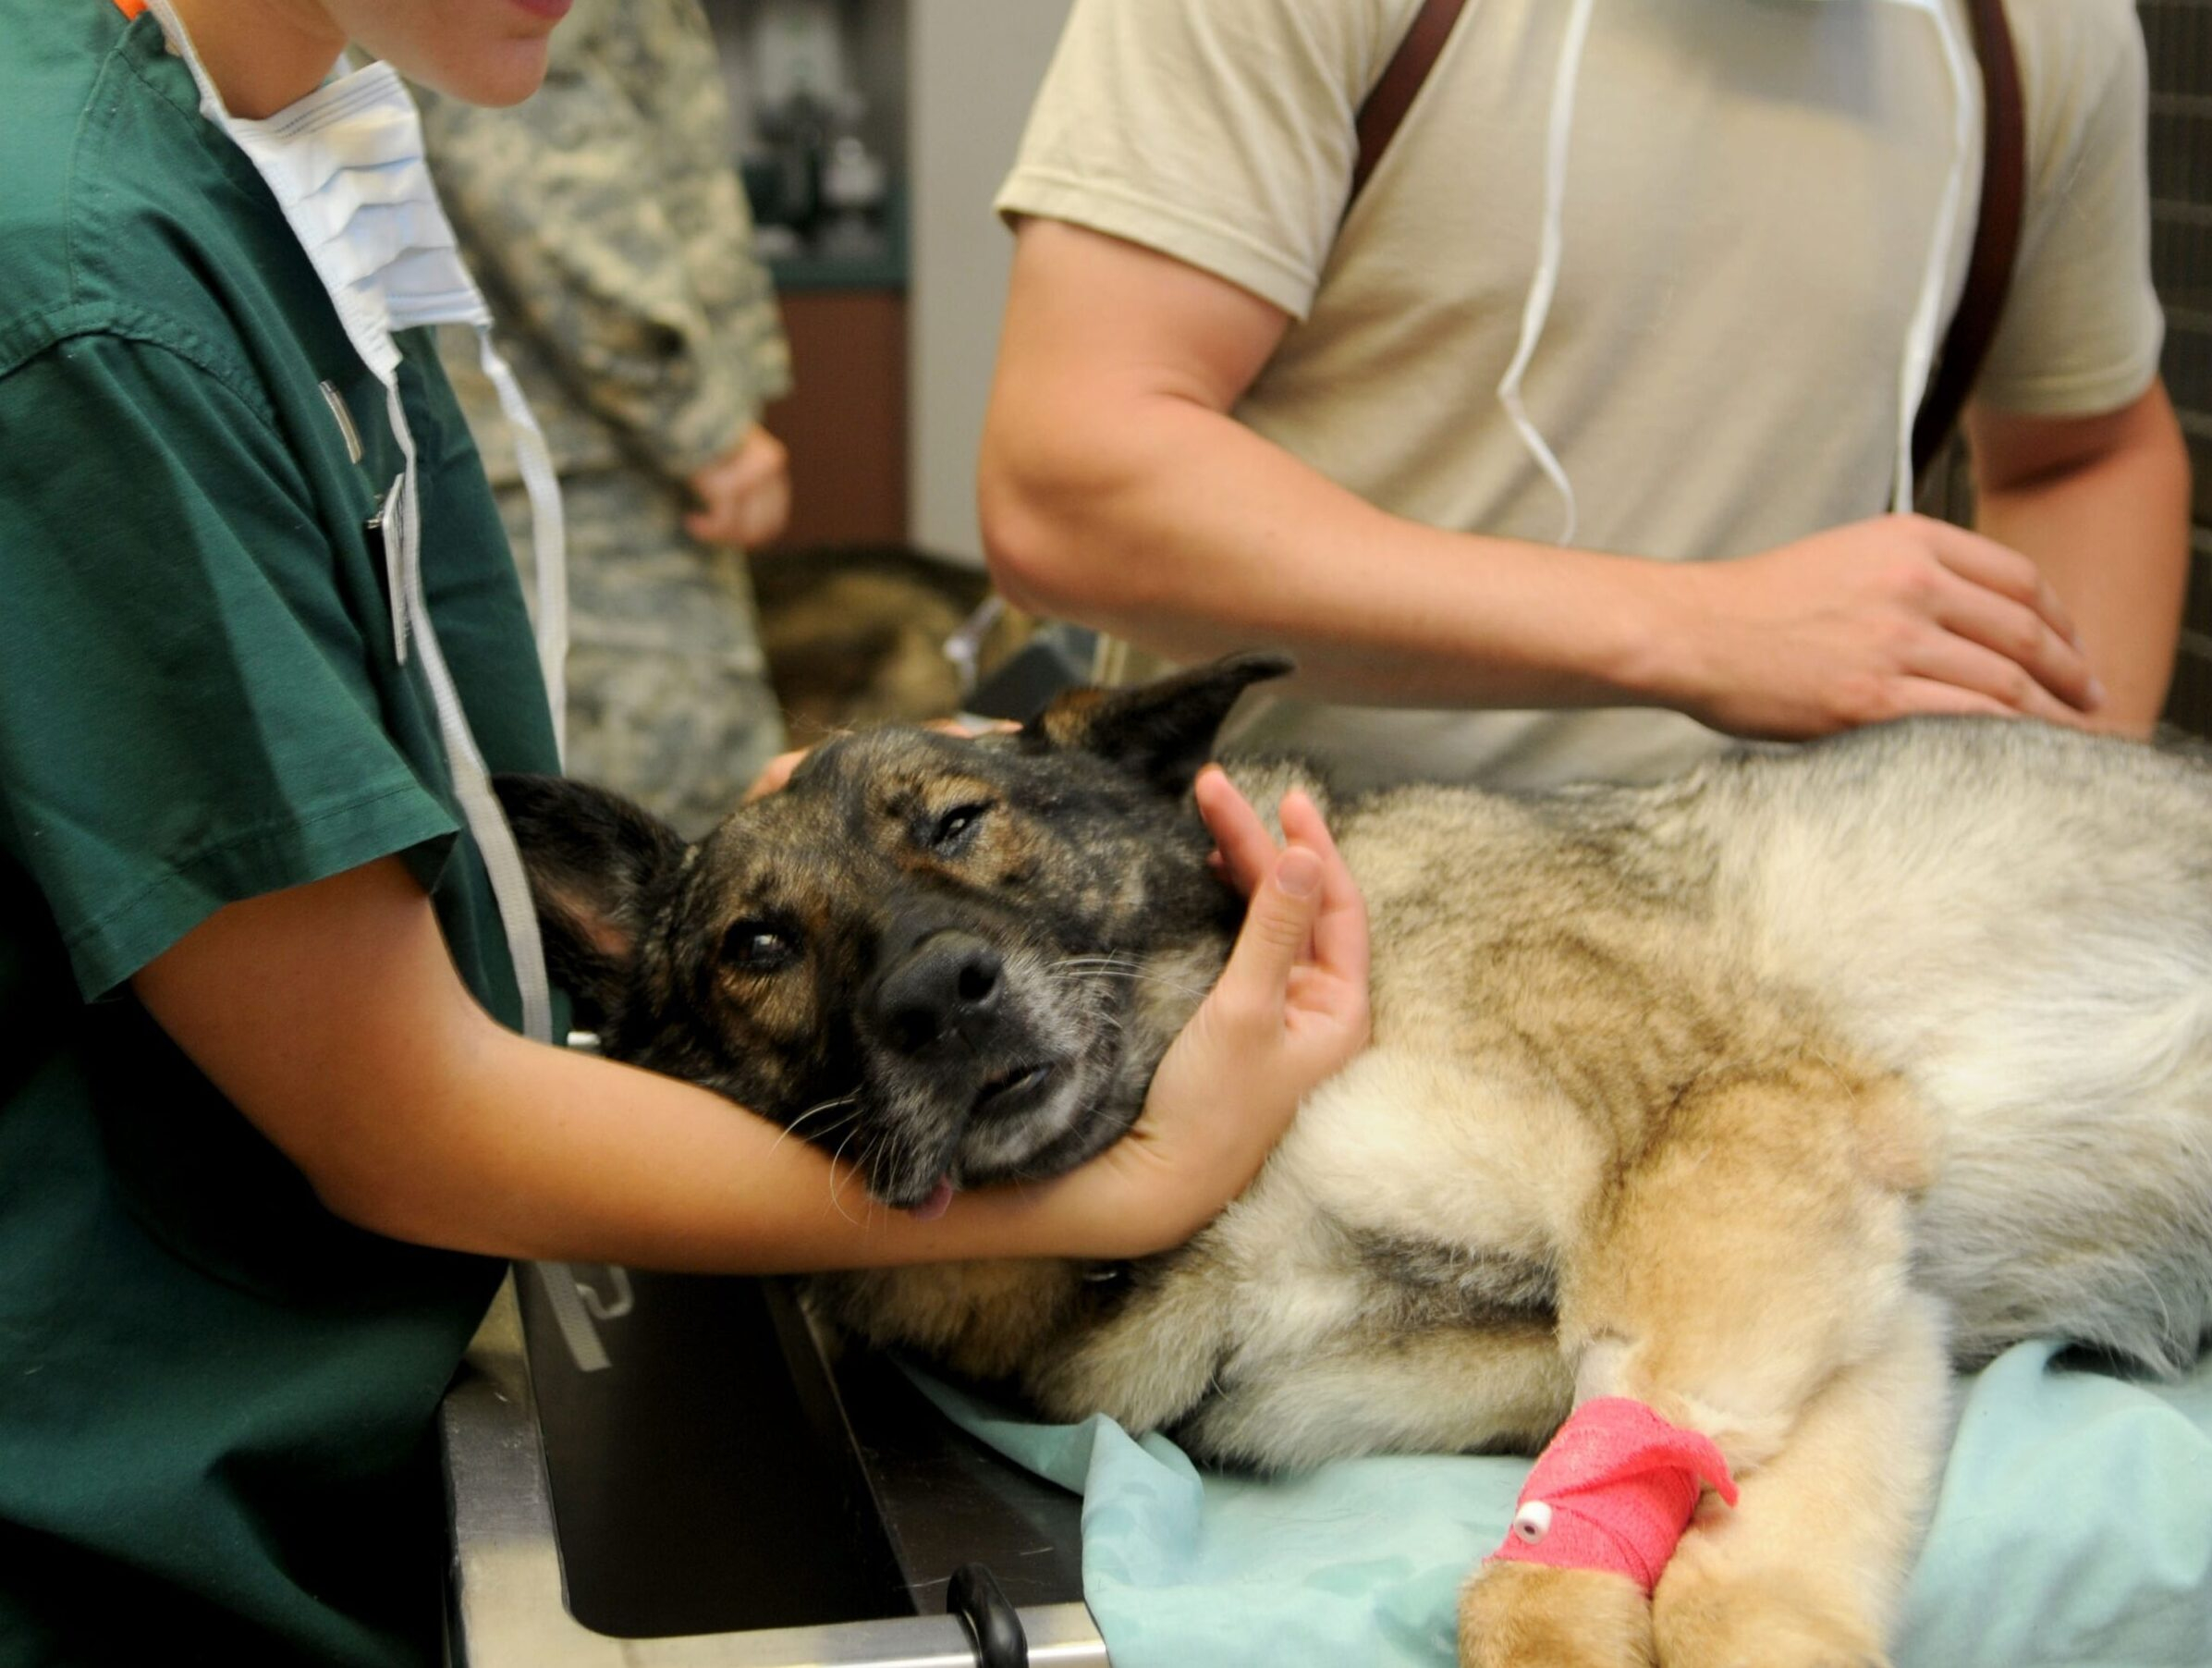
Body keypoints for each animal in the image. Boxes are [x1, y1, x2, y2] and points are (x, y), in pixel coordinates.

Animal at [502, 655, 2212, 1654]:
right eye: (759, 944)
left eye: (960, 818)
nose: (937, 995)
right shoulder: (1847, 1304)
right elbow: (1727, 1558)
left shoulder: (1739, 1145)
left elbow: (1608, 1545)